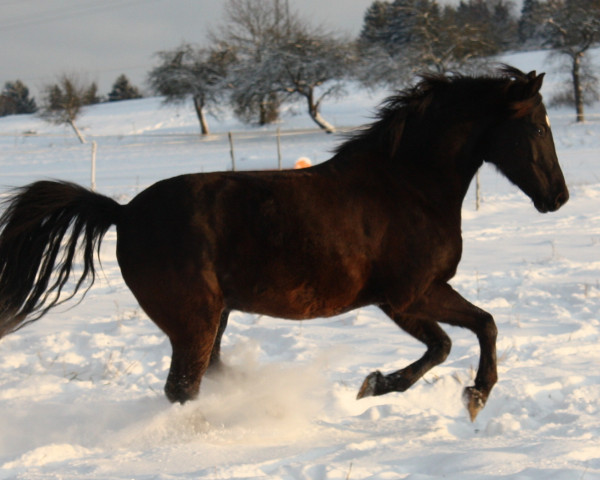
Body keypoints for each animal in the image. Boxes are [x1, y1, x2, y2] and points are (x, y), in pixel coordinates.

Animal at [0, 66, 568, 420]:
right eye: (538, 127)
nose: (558, 197)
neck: (407, 185)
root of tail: (122, 212)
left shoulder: (408, 298)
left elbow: (463, 334)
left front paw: (388, 386)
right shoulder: (408, 295)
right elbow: (464, 334)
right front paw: (463, 395)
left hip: (214, 318)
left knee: (206, 377)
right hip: (194, 321)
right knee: (182, 388)